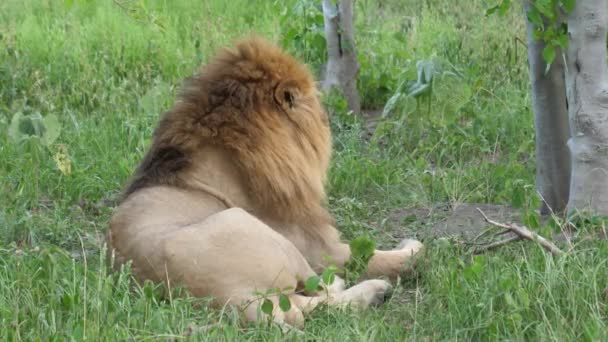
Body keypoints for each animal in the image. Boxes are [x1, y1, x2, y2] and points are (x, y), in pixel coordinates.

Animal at [108, 36, 422, 328]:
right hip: (260, 231)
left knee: (299, 308)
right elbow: (387, 257)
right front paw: (411, 248)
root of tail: (234, 299)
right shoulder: (322, 248)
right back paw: (373, 288)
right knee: (317, 293)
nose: (327, 117)